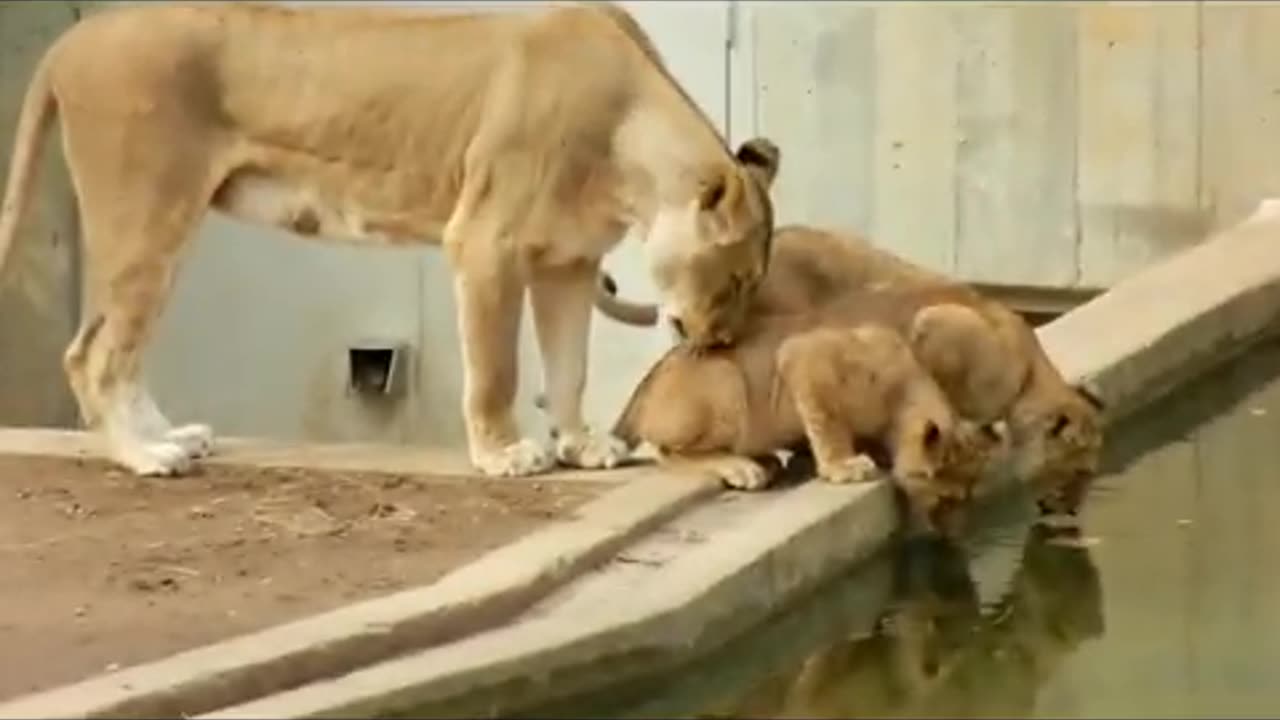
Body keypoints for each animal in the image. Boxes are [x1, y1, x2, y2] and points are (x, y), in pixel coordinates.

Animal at [0, 5, 778, 479]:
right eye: (739, 279)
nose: (720, 342)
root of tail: (75, 36)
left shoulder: (569, 262)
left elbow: (570, 368)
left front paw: (582, 444)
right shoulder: (487, 243)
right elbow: (497, 368)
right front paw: (505, 454)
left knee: (121, 350)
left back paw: (172, 438)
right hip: (146, 213)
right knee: (93, 352)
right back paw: (146, 456)